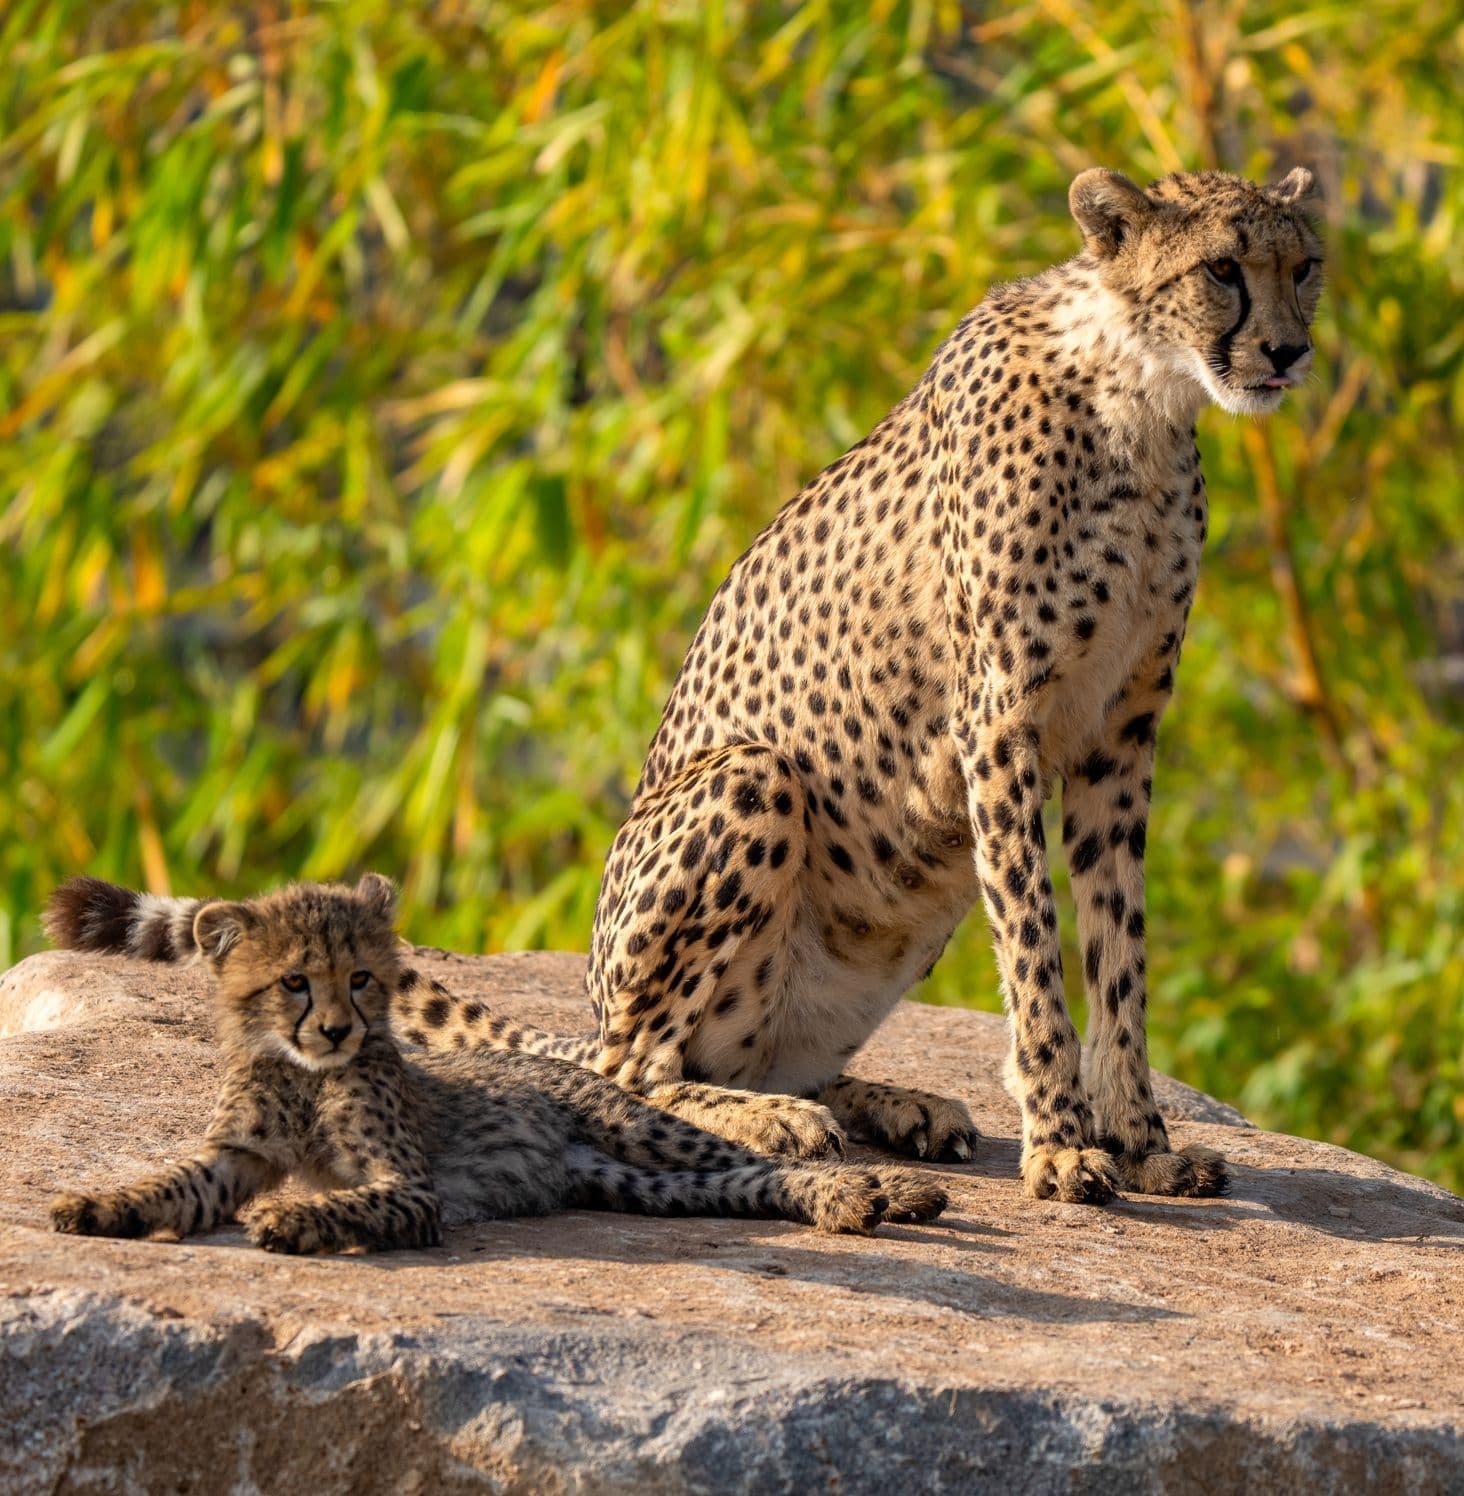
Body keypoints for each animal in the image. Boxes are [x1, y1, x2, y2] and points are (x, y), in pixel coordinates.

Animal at [45, 875, 947, 1252]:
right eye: (295, 982)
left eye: (361, 978)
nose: (335, 1031)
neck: (302, 1071)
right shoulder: (235, 1158)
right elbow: (171, 1185)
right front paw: (99, 1205)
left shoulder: (410, 1188)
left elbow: (351, 1203)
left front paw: (292, 1222)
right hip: (636, 1184)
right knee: (746, 1183)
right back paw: (862, 1201)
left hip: (643, 1130)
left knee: (761, 1154)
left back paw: (876, 1188)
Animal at [390, 165, 1324, 1208]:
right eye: (1222, 269)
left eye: (1305, 267)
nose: (1288, 349)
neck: (1142, 399)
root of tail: (590, 1010)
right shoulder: (998, 720)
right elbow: (1036, 945)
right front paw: (1060, 1145)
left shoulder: (1120, 732)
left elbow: (1117, 949)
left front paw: (1142, 1142)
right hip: (752, 778)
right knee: (634, 1073)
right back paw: (777, 1119)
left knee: (755, 1057)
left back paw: (891, 1104)